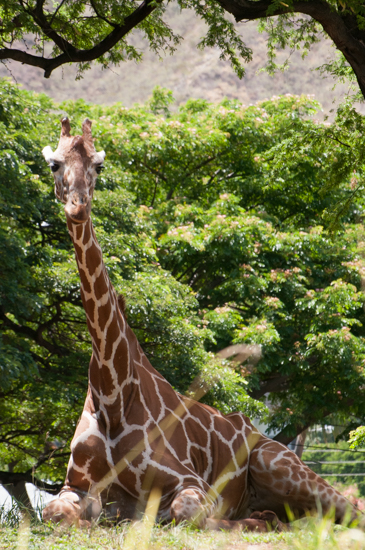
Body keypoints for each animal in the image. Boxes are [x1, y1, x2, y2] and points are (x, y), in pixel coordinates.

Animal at [39, 117, 358, 536]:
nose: (78, 206)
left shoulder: (189, 481)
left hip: (276, 461)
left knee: (346, 511)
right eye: (55, 164)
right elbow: (55, 513)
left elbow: (184, 512)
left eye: (99, 166)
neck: (113, 393)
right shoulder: (74, 485)